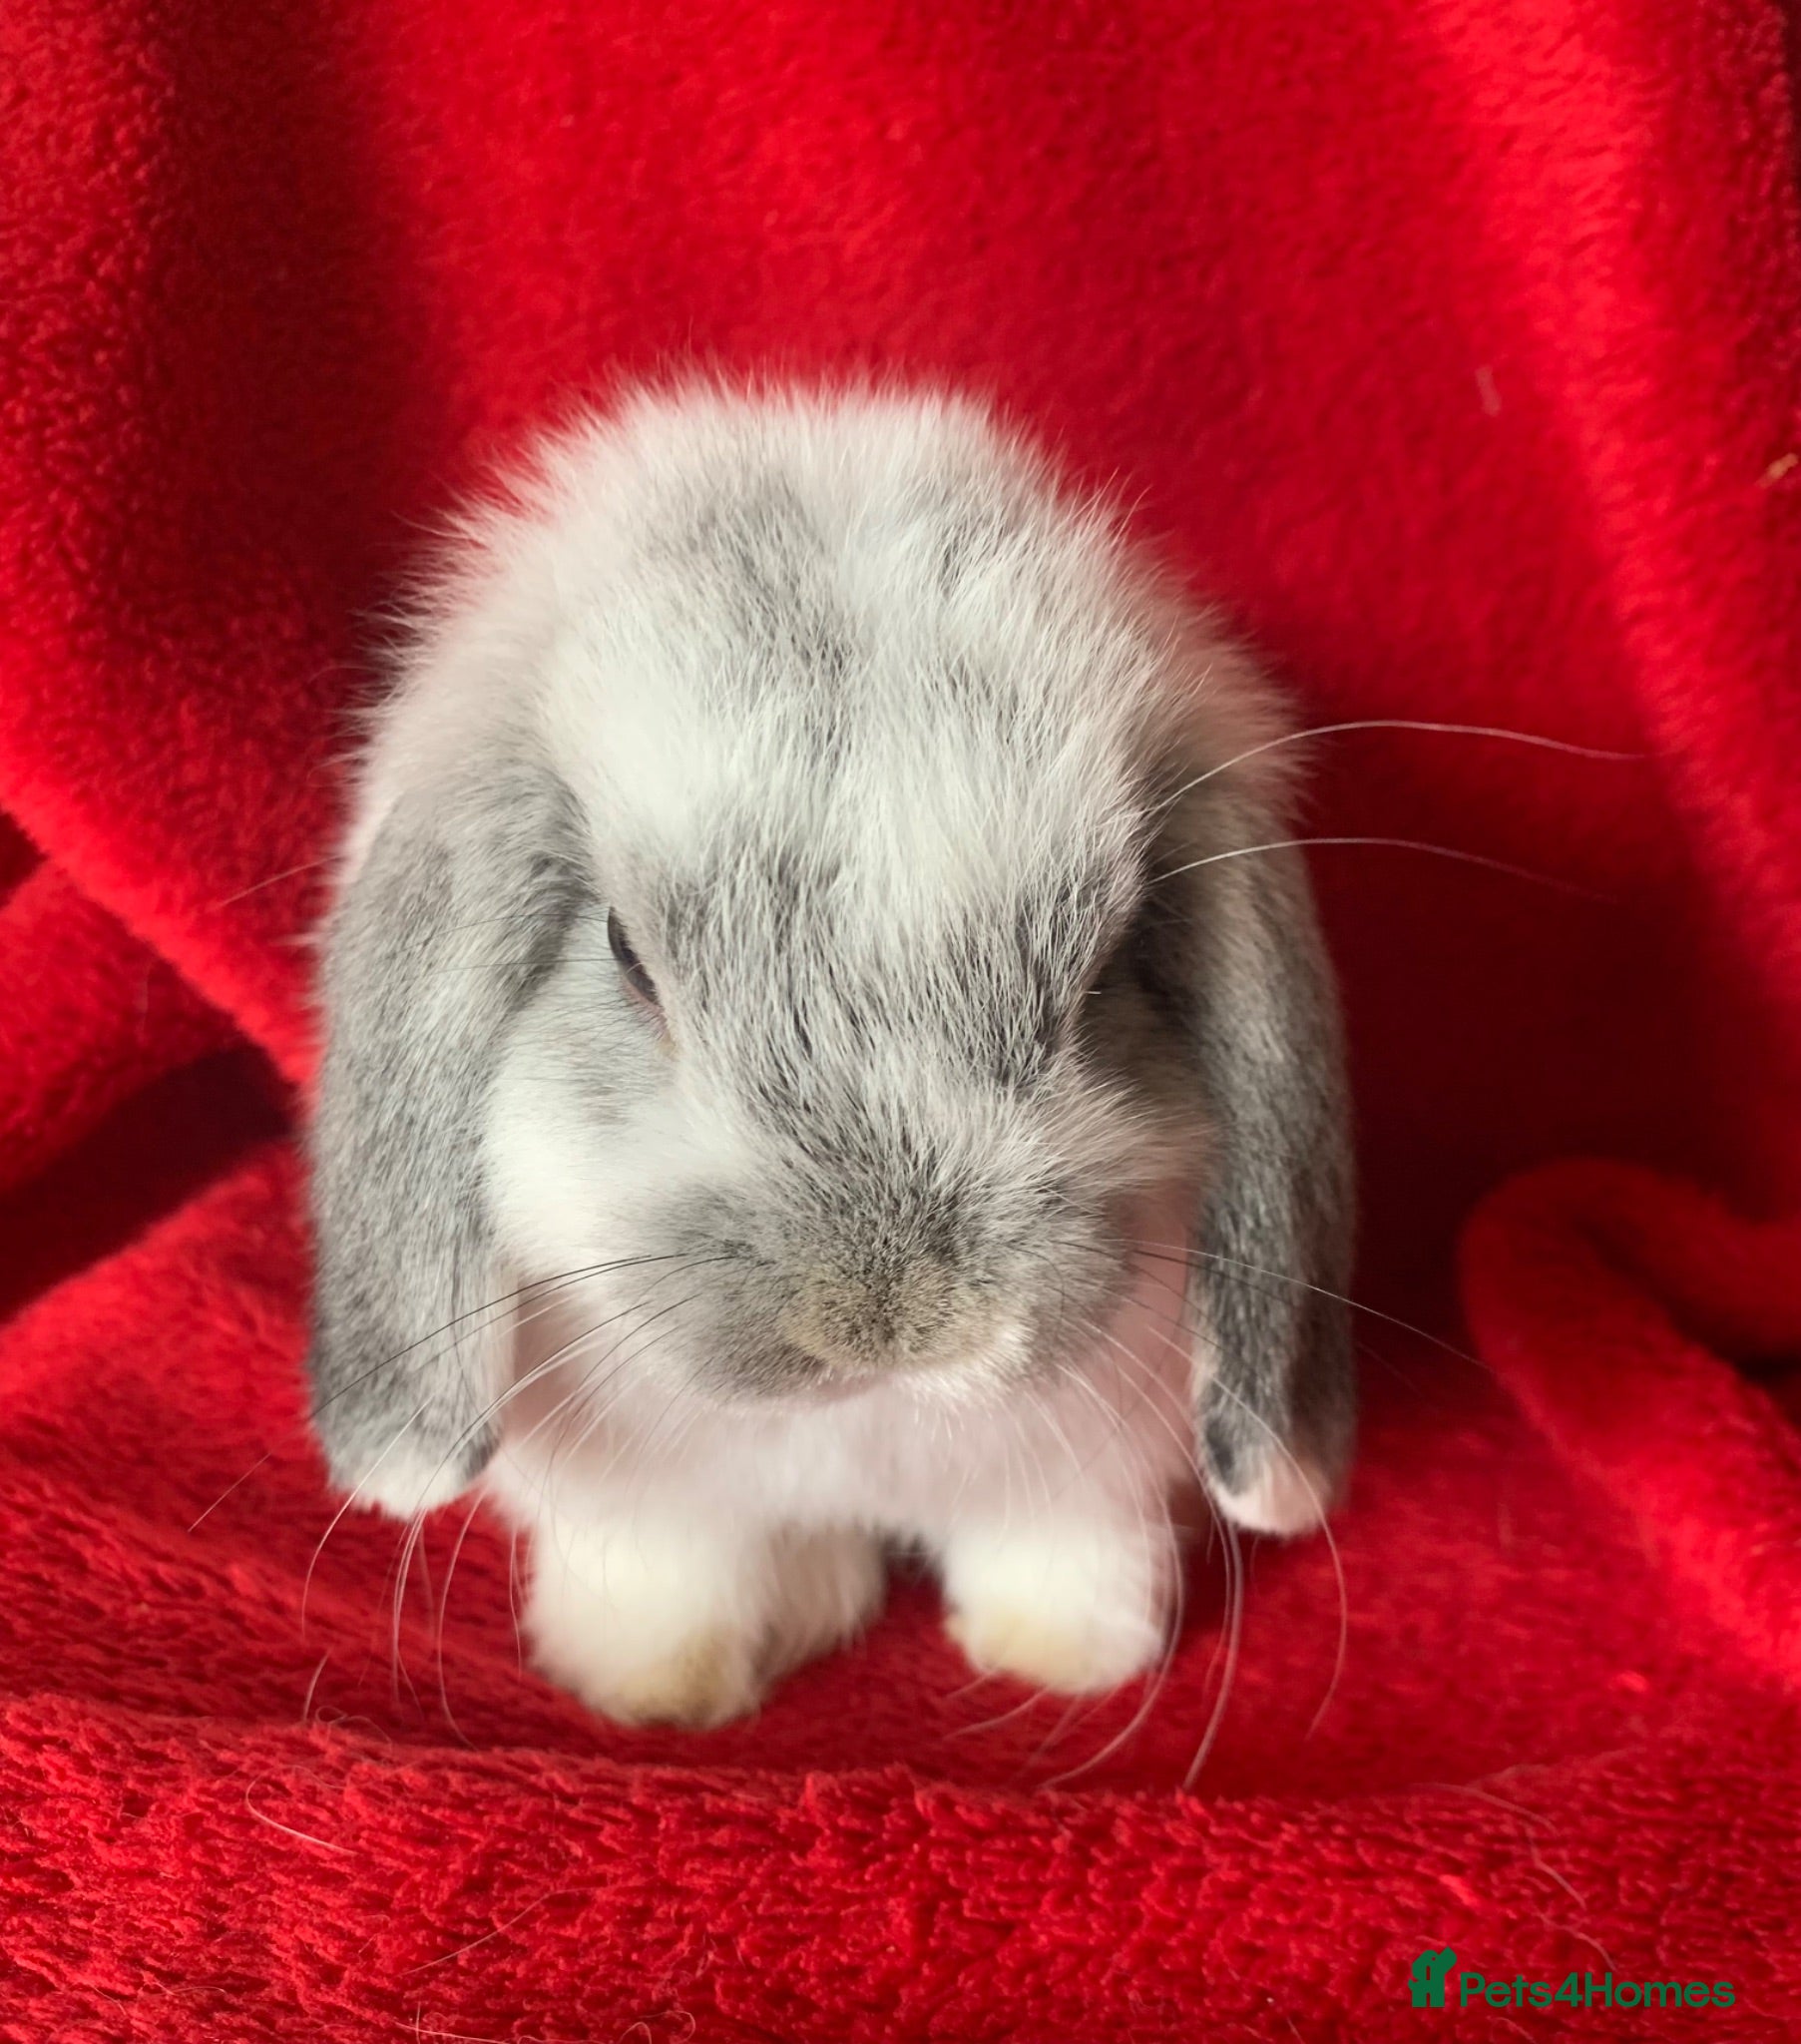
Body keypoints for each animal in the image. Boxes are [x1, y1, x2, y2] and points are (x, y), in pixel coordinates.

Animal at [305, 383, 1354, 1729]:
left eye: (1108, 963)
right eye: (624, 951)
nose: (891, 1320)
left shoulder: (1088, 1476)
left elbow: (1063, 1553)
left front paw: (1059, 1661)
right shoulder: (644, 1504)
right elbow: (670, 1575)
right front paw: (651, 1690)